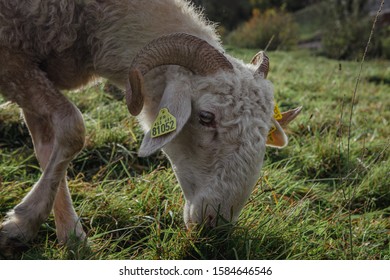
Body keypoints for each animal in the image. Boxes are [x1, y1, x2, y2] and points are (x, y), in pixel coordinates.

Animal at [0, 0, 302, 258]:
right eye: (206, 117)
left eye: (264, 131)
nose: (217, 225)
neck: (94, 18)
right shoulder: (14, 62)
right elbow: (72, 128)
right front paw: (23, 223)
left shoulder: (33, 74)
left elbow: (47, 148)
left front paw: (71, 237)